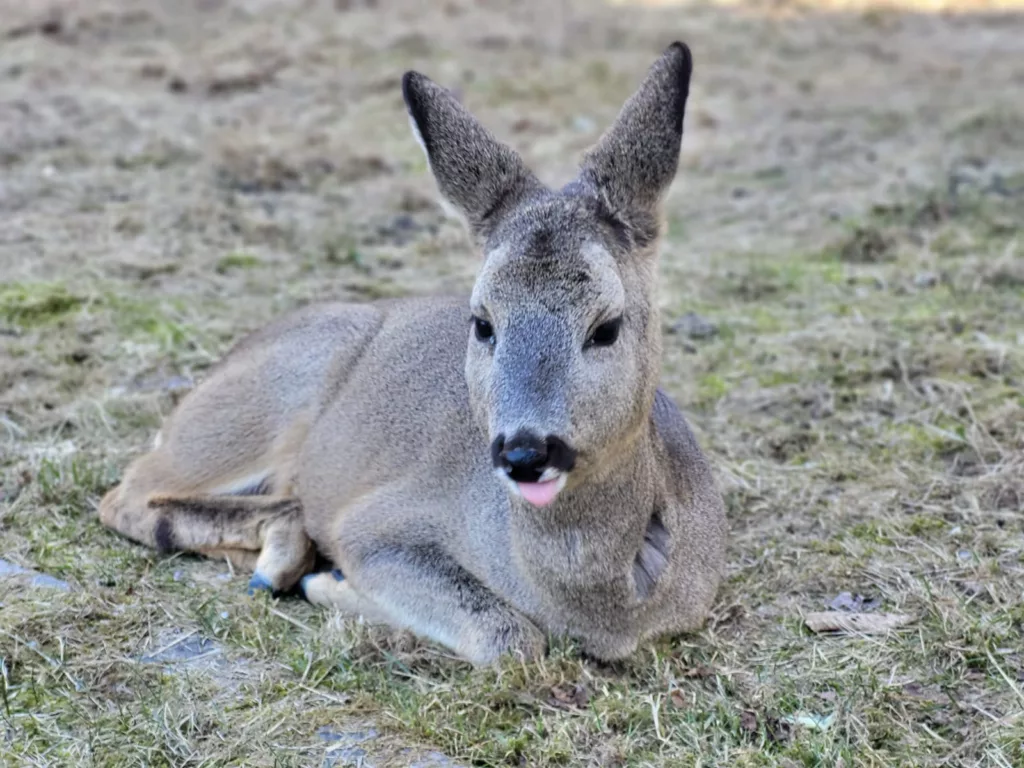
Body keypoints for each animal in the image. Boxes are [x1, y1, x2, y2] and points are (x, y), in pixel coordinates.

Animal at [98, 42, 727, 666]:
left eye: (607, 327)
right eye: (482, 323)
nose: (525, 452)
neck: (607, 611)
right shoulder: (374, 522)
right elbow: (512, 639)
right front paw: (335, 586)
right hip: (254, 408)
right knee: (126, 491)